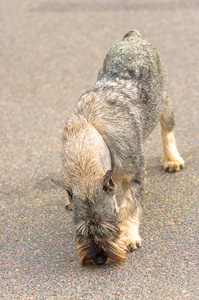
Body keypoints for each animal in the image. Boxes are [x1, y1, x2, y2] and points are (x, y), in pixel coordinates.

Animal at [60, 29, 183, 264]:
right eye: (81, 231)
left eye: (111, 224)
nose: (99, 259)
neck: (90, 129)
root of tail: (132, 37)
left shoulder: (134, 175)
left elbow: (129, 208)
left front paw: (128, 237)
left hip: (165, 102)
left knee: (167, 130)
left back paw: (172, 159)